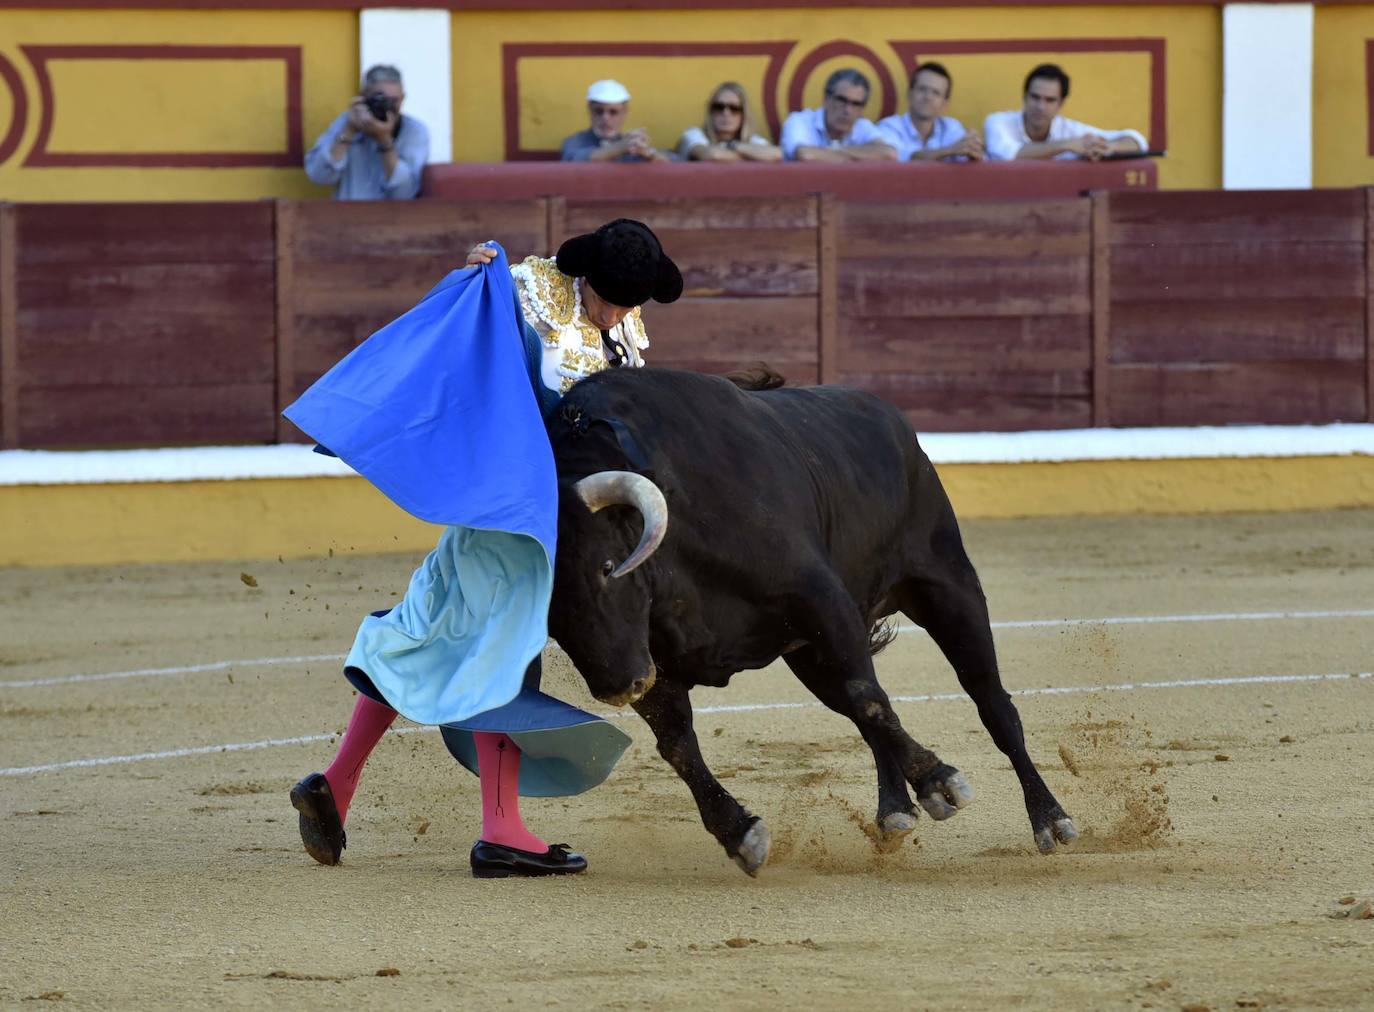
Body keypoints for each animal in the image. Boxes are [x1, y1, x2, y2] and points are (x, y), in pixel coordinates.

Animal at [541, 368, 1077, 873]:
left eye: (608, 567)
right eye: (546, 613)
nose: (616, 688)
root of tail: (898, 427)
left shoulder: (821, 598)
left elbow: (870, 699)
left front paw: (940, 782)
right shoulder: (655, 659)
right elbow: (678, 744)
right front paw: (740, 833)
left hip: (948, 586)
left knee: (989, 702)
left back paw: (1050, 820)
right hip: (810, 654)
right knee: (861, 705)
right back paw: (895, 810)